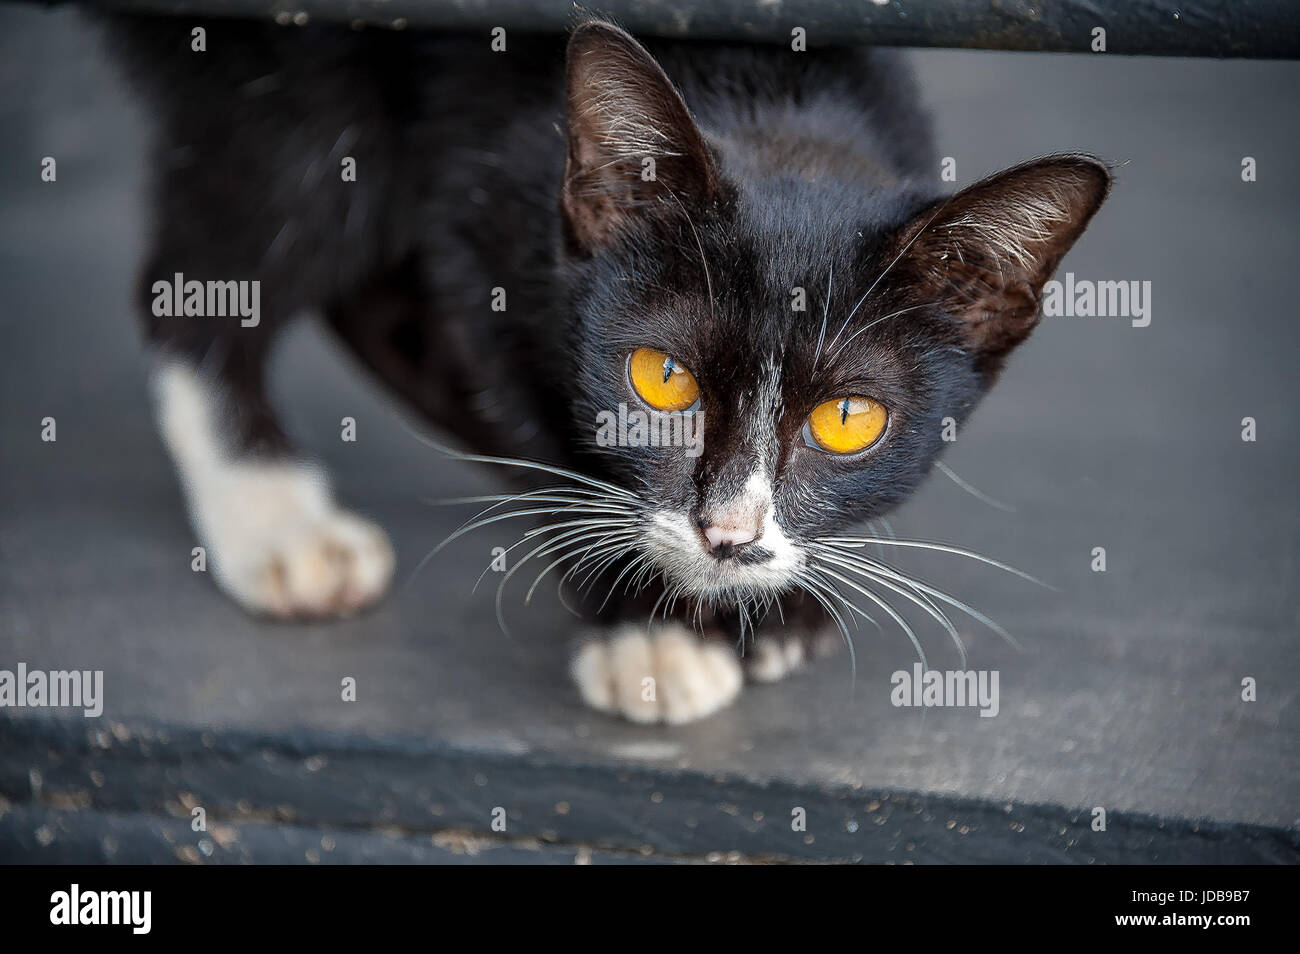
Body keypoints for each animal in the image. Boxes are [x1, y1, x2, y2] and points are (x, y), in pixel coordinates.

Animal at [106, 16, 1112, 722]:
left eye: (848, 420)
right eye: (661, 380)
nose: (729, 537)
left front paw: (765, 612)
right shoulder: (485, 188)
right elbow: (516, 382)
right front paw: (651, 629)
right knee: (221, 252)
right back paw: (272, 518)